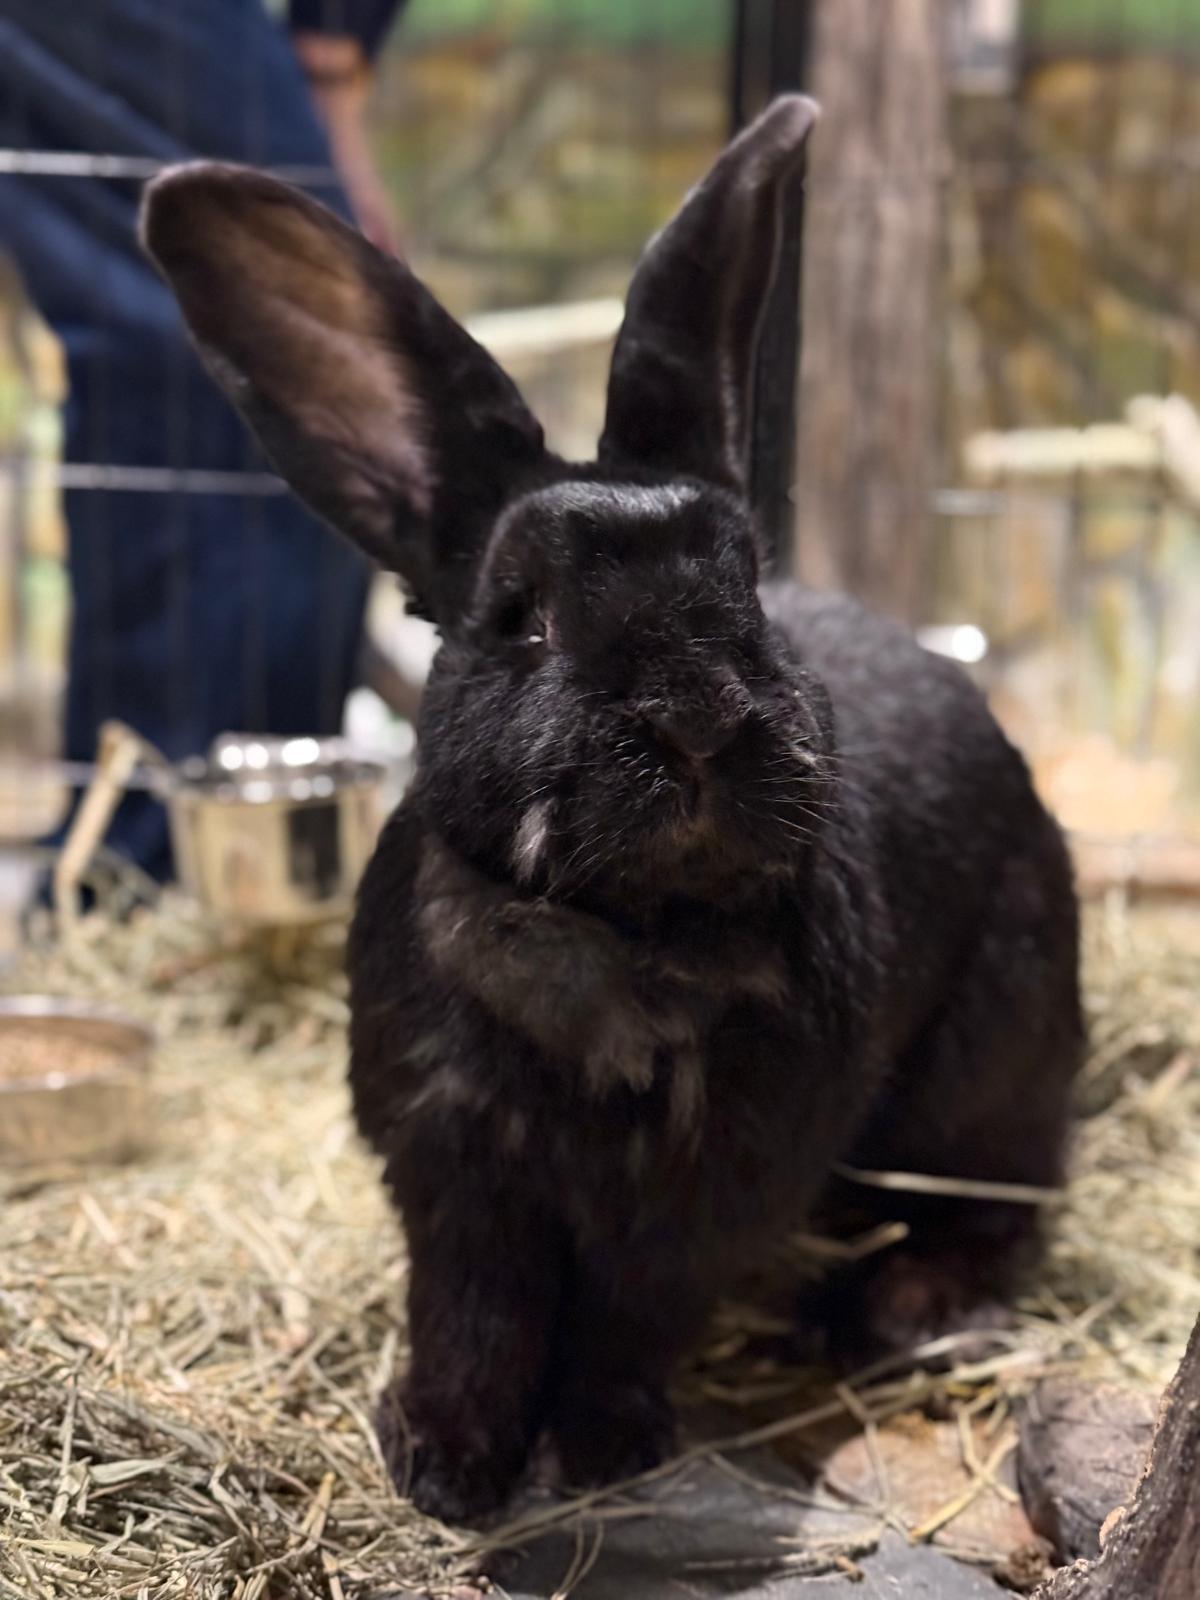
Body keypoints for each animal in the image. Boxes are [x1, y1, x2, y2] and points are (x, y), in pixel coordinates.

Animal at [141, 93, 1083, 1524]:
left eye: (746, 588)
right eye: (518, 615)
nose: (698, 715)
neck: (618, 929)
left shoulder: (706, 1195)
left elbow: (632, 1317)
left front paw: (598, 1446)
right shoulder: (454, 1174)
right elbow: (475, 1315)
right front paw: (444, 1461)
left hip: (992, 1065)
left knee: (1001, 1201)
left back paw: (895, 1306)